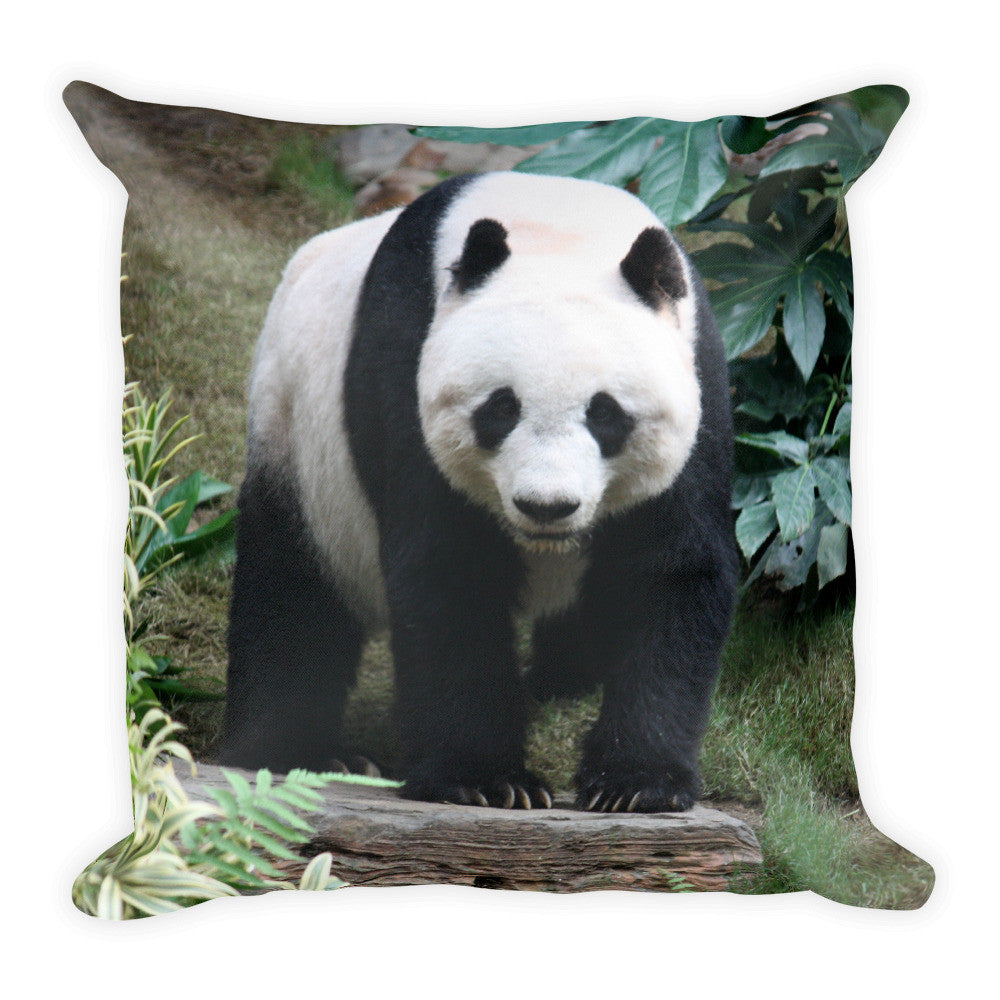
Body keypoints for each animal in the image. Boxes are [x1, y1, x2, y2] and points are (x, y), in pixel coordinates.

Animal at [220, 171, 738, 813]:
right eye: (501, 409)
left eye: (605, 414)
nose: (547, 507)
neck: (559, 229)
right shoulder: (406, 359)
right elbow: (451, 572)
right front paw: (486, 781)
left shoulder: (699, 380)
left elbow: (667, 573)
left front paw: (636, 784)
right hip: (297, 438)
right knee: (292, 590)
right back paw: (298, 752)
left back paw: (557, 683)